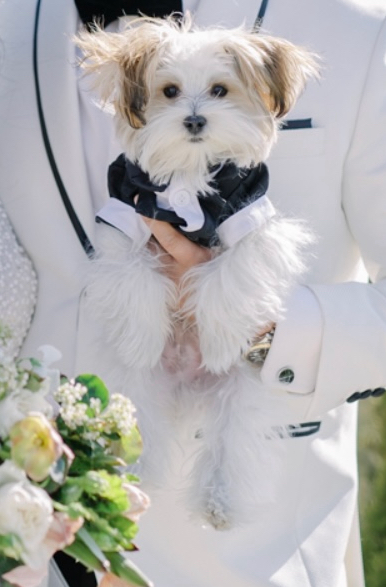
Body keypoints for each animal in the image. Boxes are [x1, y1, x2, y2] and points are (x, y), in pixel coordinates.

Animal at [77, 18, 318, 532]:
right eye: (169, 91)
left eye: (220, 90)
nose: (194, 120)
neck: (188, 178)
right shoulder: (123, 215)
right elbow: (133, 272)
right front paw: (142, 339)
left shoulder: (251, 218)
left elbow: (234, 270)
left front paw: (222, 341)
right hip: (139, 390)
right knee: (142, 425)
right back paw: (130, 479)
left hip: (242, 394)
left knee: (235, 443)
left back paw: (219, 501)